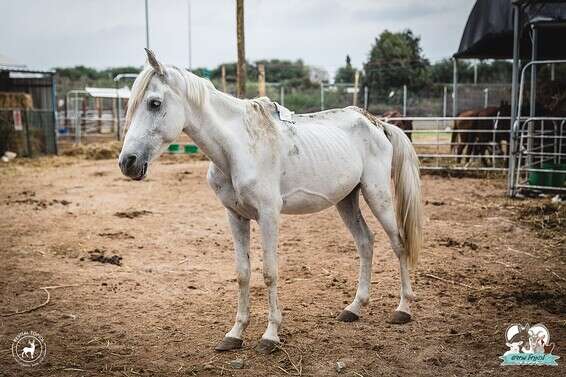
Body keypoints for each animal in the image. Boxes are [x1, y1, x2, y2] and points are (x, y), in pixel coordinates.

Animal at [117, 50, 424, 352]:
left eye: (154, 103)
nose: (127, 162)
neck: (239, 147)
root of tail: (378, 124)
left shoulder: (268, 215)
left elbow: (269, 272)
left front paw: (270, 335)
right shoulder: (235, 216)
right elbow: (243, 273)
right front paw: (235, 334)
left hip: (377, 193)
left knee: (398, 243)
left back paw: (403, 309)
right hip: (346, 200)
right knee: (365, 242)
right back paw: (354, 308)